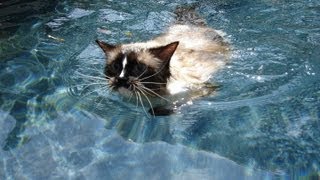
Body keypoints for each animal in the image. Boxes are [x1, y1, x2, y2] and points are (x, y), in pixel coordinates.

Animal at [95, 5, 230, 116]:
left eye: (139, 68)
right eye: (116, 66)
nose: (121, 78)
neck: (151, 97)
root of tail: (189, 24)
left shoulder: (203, 90)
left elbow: (176, 105)